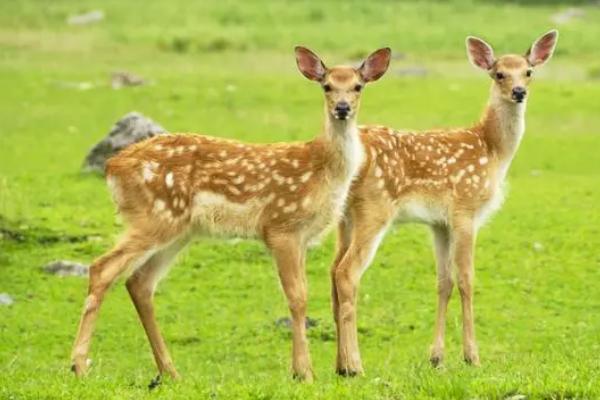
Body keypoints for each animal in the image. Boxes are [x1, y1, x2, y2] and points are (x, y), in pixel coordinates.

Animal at [70, 46, 392, 384]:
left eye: (358, 86)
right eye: (327, 86)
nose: (342, 108)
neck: (321, 170)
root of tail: (112, 167)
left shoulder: (302, 237)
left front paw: (309, 368)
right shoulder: (280, 226)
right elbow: (297, 297)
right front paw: (303, 372)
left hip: (178, 230)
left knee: (139, 282)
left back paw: (170, 371)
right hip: (154, 217)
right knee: (102, 268)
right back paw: (79, 365)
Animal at [332, 30, 556, 376]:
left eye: (528, 71)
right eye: (499, 73)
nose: (518, 92)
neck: (492, 151)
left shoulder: (439, 222)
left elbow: (443, 281)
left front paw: (436, 357)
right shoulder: (465, 209)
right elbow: (466, 279)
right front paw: (472, 356)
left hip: (345, 217)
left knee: (333, 270)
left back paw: (340, 365)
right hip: (374, 209)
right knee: (346, 272)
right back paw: (354, 366)